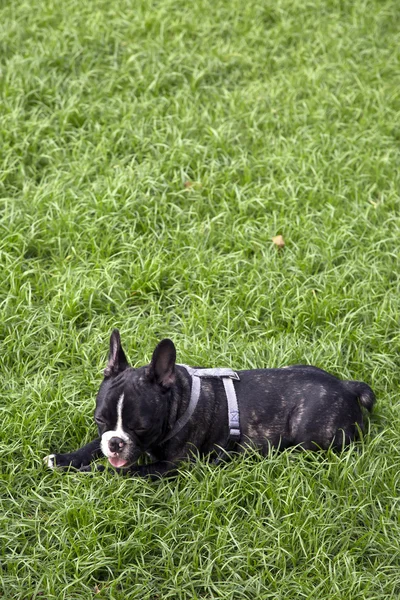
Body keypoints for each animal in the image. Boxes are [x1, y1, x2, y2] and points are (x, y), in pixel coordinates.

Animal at [45, 328, 376, 478]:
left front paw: (89, 472)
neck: (178, 400)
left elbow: (122, 471)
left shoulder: (169, 466)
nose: (115, 443)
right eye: (100, 420)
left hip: (308, 433)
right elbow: (92, 446)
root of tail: (347, 387)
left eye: (141, 427)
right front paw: (64, 458)